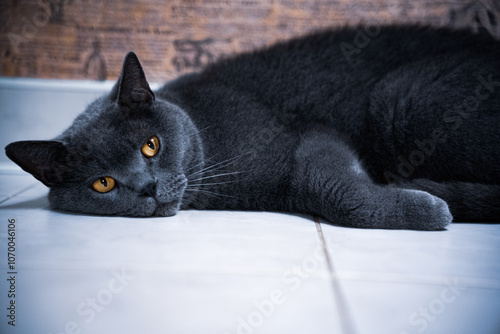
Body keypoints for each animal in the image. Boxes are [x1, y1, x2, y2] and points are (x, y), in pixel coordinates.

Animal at [4, 25, 500, 230]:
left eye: (151, 146)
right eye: (103, 184)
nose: (147, 187)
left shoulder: (304, 136)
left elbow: (326, 185)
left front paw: (431, 211)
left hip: (401, 98)